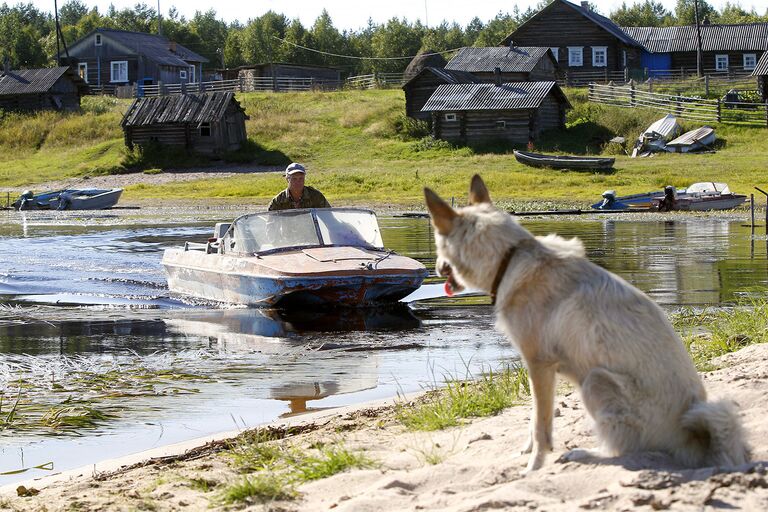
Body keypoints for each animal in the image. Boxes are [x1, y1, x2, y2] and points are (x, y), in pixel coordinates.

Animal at [424, 176, 748, 472]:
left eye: (438, 242)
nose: (436, 268)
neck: (510, 257)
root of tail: (693, 440)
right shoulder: (539, 371)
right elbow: (533, 419)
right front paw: (526, 452)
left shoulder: (539, 365)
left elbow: (540, 426)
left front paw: (534, 466)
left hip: (595, 381)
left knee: (627, 451)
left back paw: (586, 454)